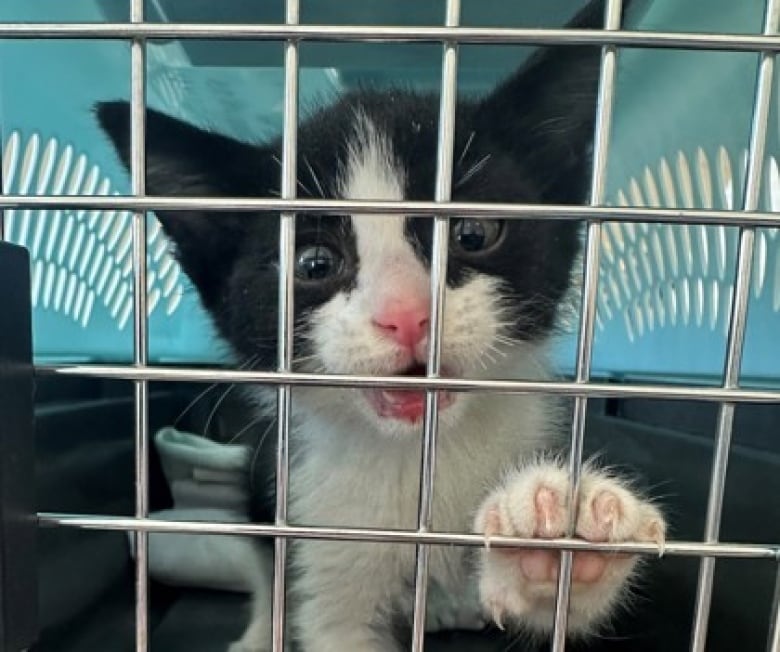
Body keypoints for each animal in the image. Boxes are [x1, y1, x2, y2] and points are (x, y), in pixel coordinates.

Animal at [96, 2, 664, 648]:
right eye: (313, 263)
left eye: (473, 233)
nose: (406, 314)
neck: (420, 459)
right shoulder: (312, 523)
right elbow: (322, 611)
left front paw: (558, 538)